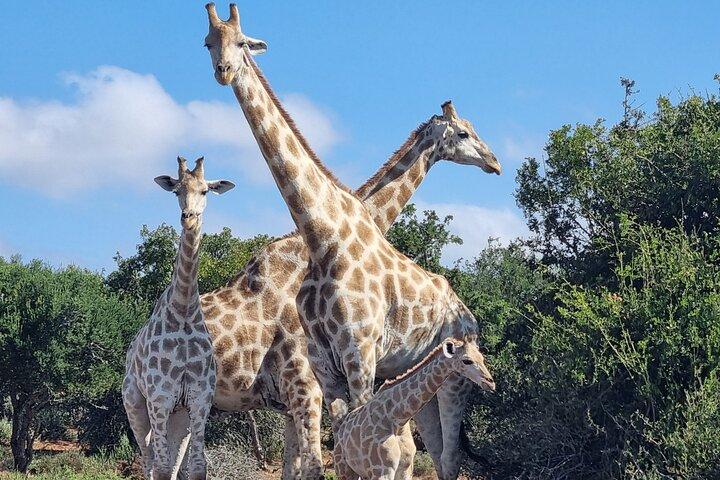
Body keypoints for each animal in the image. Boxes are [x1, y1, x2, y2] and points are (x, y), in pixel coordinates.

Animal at [122, 157, 235, 480]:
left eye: (205, 191)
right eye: (176, 191)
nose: (188, 217)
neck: (183, 309)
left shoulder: (199, 400)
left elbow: (196, 467)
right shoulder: (159, 398)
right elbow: (160, 468)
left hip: (179, 417)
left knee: (168, 461)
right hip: (135, 403)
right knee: (149, 459)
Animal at [333, 338, 495, 480]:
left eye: (481, 358)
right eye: (466, 360)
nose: (490, 383)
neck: (397, 417)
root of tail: (341, 431)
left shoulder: (406, 468)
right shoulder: (381, 470)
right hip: (345, 469)